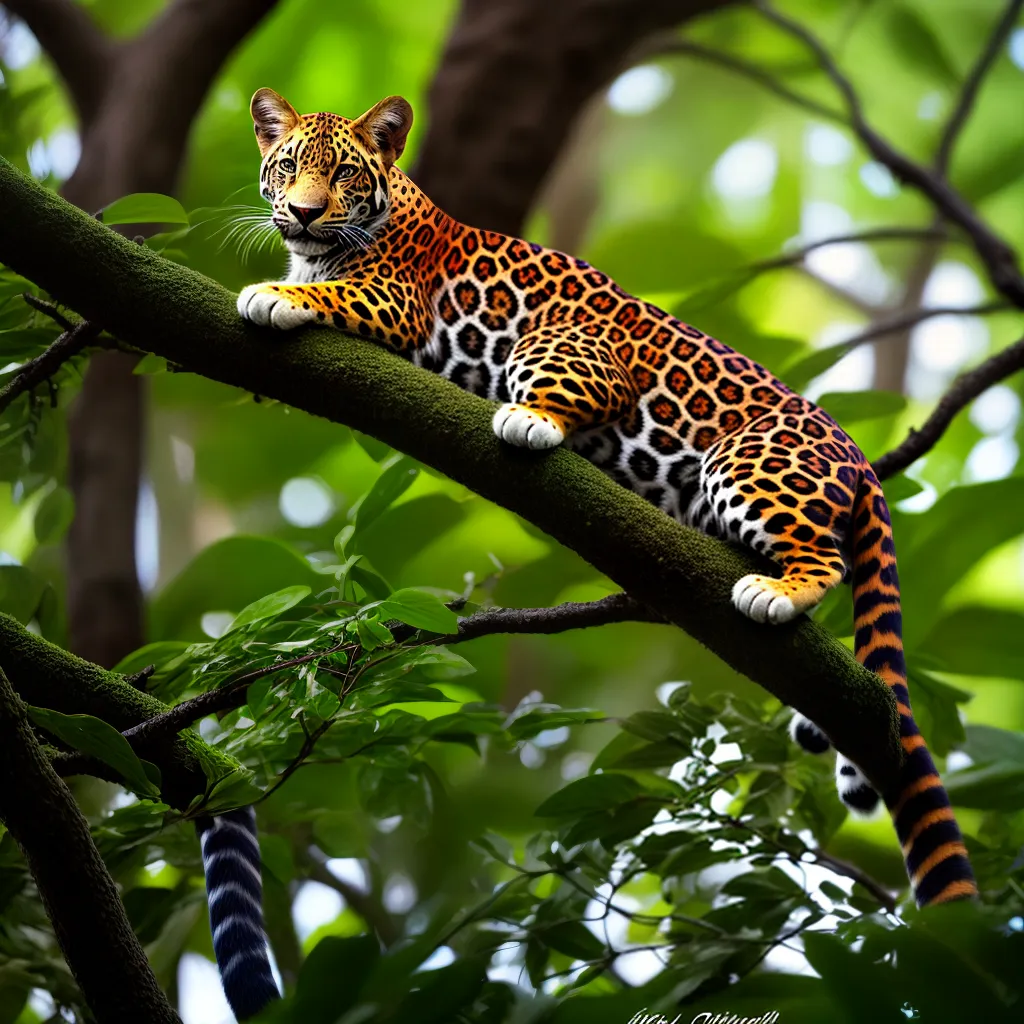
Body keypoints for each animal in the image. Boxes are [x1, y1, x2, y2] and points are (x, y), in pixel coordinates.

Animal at [210, 87, 978, 1017]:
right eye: (288, 166)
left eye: (345, 174)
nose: (303, 211)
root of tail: (861, 459)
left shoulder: (404, 301)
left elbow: (342, 299)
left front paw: (272, 295)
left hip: (735, 455)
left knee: (816, 560)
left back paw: (756, 580)